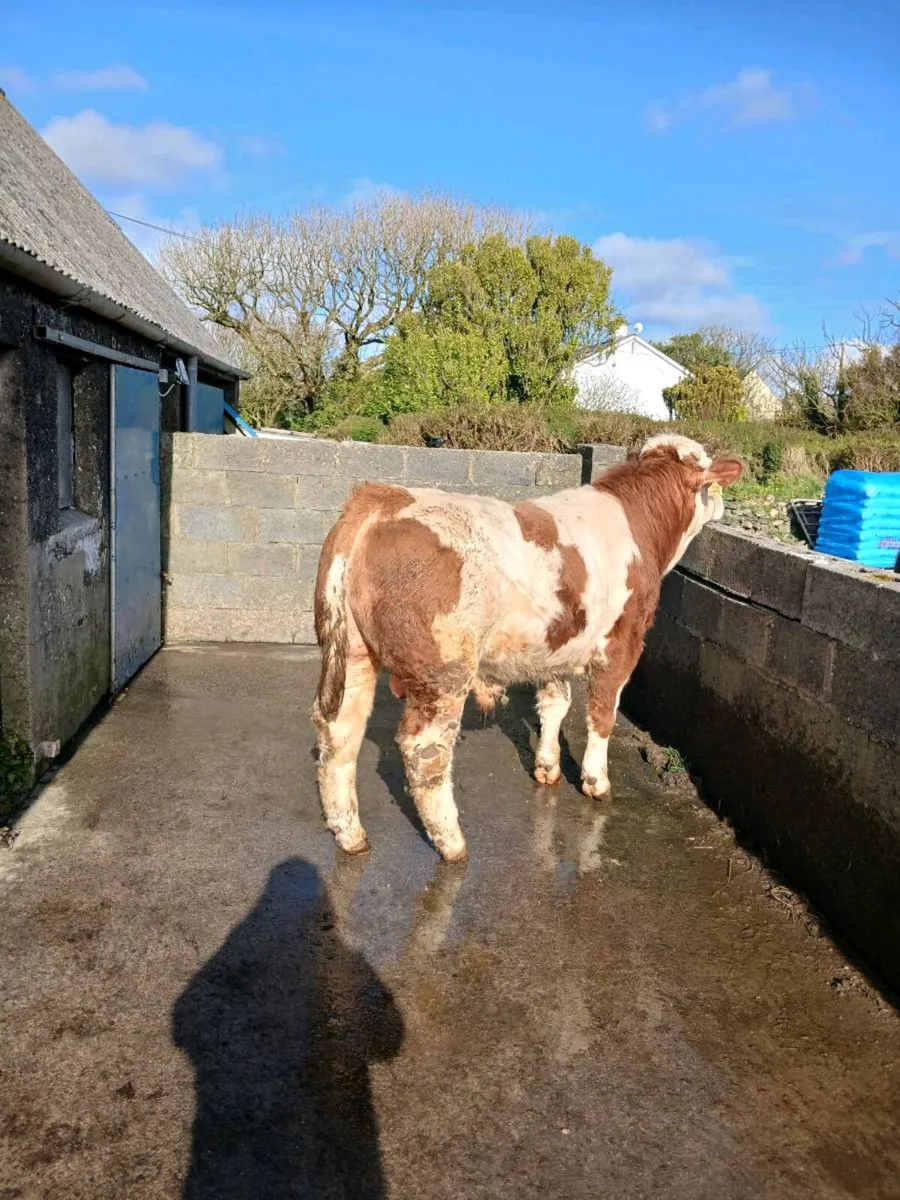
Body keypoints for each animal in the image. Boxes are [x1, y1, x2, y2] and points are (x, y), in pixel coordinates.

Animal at [312, 434, 743, 863]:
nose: (725, 506)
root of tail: (382, 498)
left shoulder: (556, 647)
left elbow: (556, 703)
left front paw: (548, 768)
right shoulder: (622, 642)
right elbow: (602, 714)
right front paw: (596, 782)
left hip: (354, 653)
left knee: (339, 731)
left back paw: (350, 834)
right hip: (444, 671)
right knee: (425, 750)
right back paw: (452, 843)